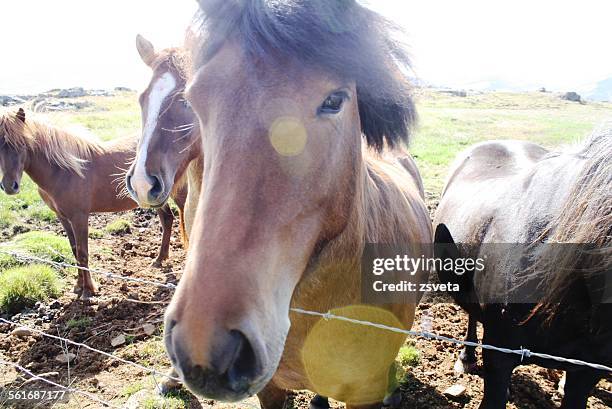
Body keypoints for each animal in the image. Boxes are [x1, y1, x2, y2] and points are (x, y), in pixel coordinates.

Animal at [0, 110, 186, 298]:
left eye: (23, 143)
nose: (9, 186)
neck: (63, 171)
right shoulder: (63, 217)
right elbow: (74, 250)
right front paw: (78, 286)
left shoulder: (79, 217)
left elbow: (83, 253)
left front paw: (88, 290)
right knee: (167, 219)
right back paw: (159, 259)